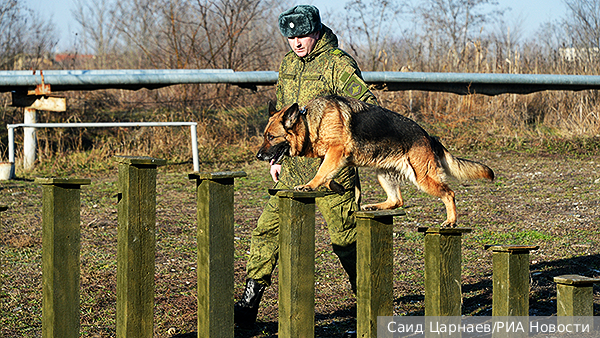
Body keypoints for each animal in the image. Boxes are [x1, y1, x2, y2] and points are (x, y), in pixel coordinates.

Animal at [255, 95, 494, 227]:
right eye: (265, 136)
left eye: (271, 137)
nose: (258, 156)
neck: (311, 121)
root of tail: (428, 136)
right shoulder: (333, 158)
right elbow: (327, 174)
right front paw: (334, 186)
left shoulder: (336, 152)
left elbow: (321, 172)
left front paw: (309, 185)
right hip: (383, 174)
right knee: (397, 200)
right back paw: (373, 206)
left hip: (423, 178)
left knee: (449, 193)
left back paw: (451, 220)